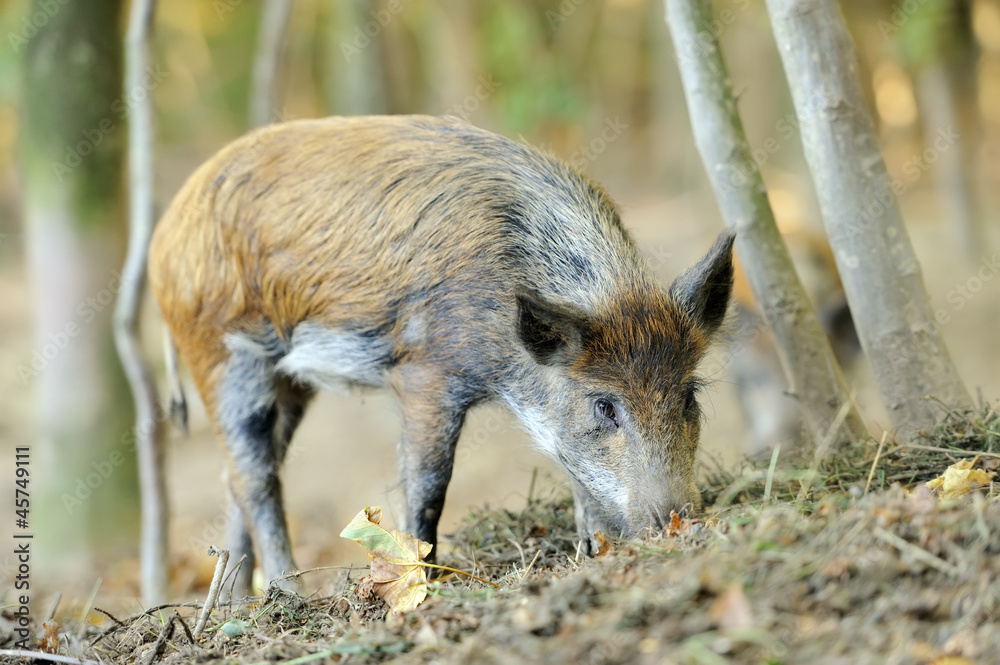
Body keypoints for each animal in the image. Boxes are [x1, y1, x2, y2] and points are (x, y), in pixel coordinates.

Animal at [148, 114, 734, 595]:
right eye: (605, 405)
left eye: (688, 395)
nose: (680, 524)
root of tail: (162, 238)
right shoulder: (425, 374)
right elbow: (428, 484)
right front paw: (423, 582)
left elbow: (572, 464)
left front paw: (592, 550)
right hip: (222, 355)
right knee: (255, 478)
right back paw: (290, 595)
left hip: (289, 381)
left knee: (239, 476)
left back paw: (240, 599)